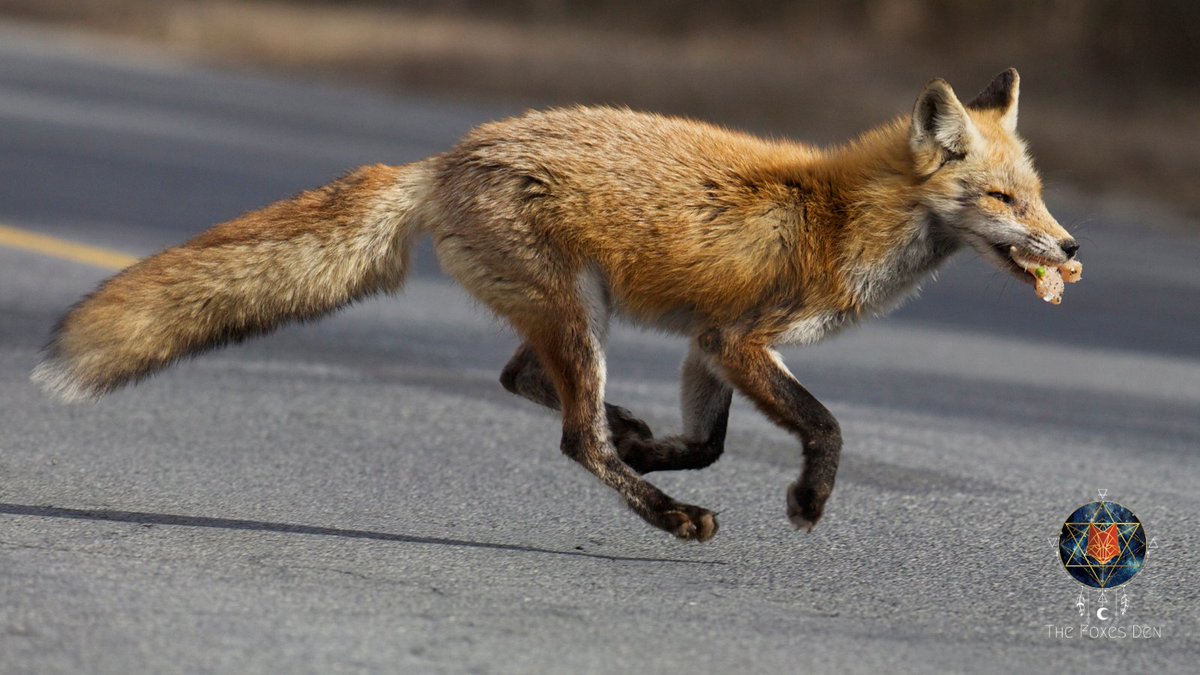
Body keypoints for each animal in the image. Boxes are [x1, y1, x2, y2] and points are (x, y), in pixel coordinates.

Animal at [33, 68, 1078, 542]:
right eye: (1004, 199)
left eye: (1038, 196)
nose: (1071, 249)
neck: (850, 215)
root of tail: (452, 154)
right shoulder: (746, 339)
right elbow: (824, 426)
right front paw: (807, 500)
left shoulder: (708, 343)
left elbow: (709, 440)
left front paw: (662, 445)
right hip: (580, 314)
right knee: (573, 436)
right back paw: (667, 513)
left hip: (577, 317)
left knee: (525, 384)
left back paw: (634, 440)